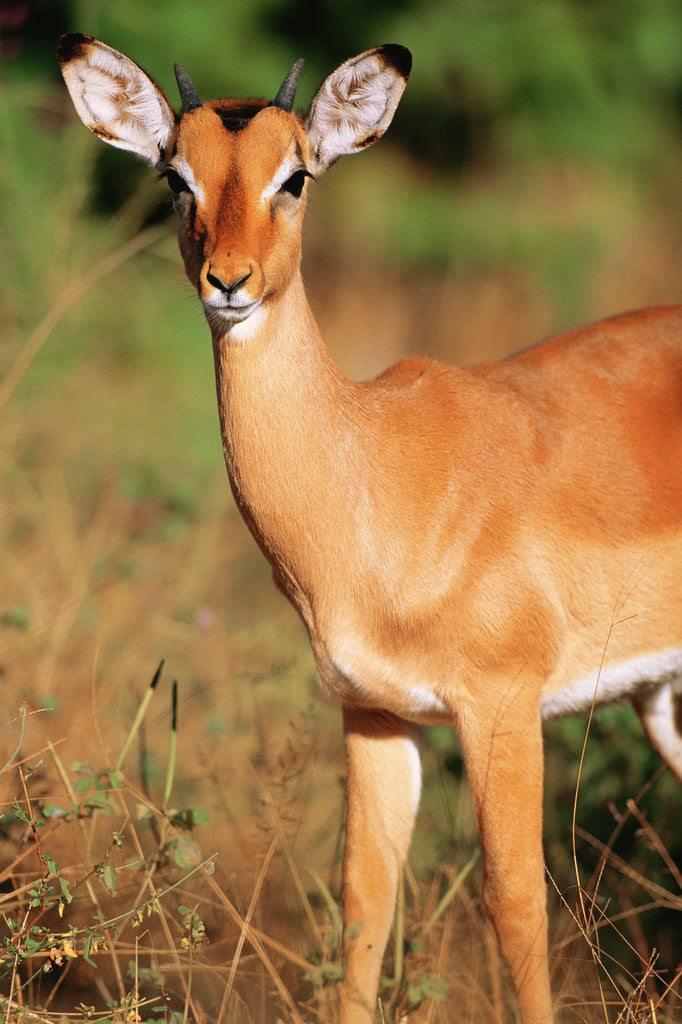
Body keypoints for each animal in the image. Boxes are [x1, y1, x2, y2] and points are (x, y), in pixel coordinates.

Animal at [58, 33, 682, 1023]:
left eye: (296, 176)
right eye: (175, 177)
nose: (227, 280)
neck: (373, 480)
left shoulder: (501, 704)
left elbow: (515, 900)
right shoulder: (376, 713)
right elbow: (363, 908)